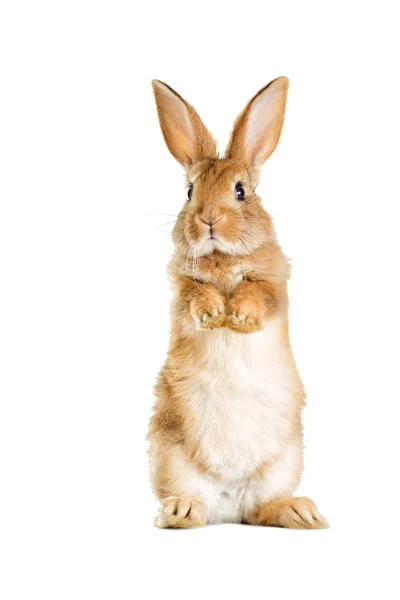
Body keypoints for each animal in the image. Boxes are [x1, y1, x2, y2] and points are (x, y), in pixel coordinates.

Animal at [148, 76, 326, 528]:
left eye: (241, 191)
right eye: (189, 191)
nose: (208, 219)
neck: (222, 257)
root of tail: (229, 502)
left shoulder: (273, 284)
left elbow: (255, 295)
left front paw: (239, 318)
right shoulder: (183, 287)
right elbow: (197, 298)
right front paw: (215, 314)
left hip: (285, 462)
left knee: (263, 509)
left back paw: (301, 512)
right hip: (170, 455)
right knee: (196, 505)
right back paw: (179, 510)